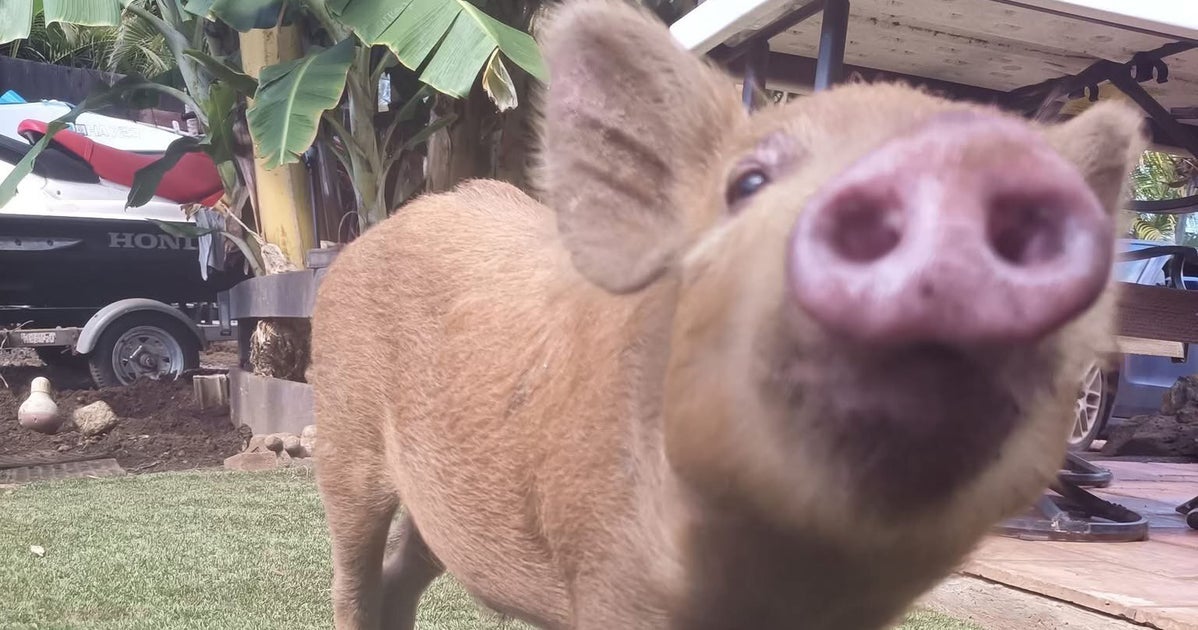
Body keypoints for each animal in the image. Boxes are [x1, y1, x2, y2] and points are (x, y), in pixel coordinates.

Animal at [310, 1, 1146, 628]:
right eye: (747, 184)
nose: (959, 158)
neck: (783, 576)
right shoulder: (605, 570)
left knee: (404, 573)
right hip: (344, 433)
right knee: (354, 574)